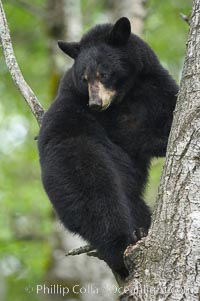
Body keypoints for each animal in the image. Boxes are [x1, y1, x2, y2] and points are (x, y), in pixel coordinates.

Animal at [37, 17, 178, 278]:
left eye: (104, 73)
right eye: (84, 78)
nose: (95, 103)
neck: (128, 93)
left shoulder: (155, 86)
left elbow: (168, 112)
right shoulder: (103, 121)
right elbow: (133, 136)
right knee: (97, 195)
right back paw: (123, 243)